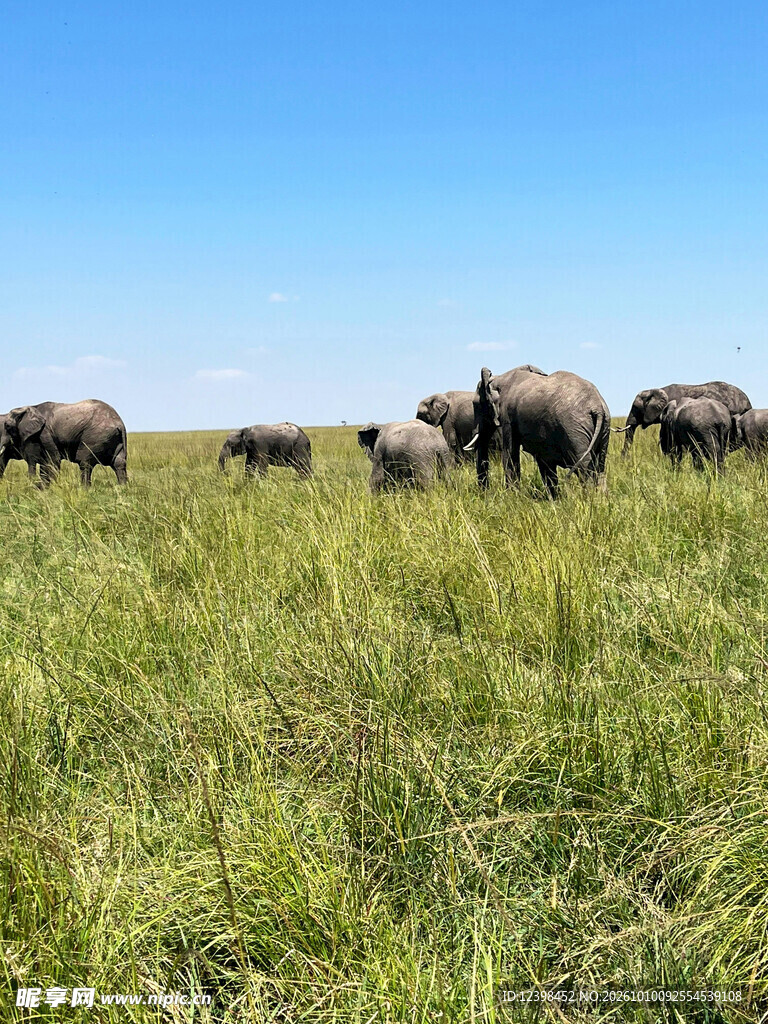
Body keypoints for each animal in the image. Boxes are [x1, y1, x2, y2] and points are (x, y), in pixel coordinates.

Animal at [466, 366, 610, 498]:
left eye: (476, 405)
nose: (484, 494)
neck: (497, 378)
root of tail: (597, 407)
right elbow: (545, 464)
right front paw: (553, 500)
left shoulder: (507, 417)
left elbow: (510, 455)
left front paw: (512, 497)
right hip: (604, 428)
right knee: (600, 467)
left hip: (573, 429)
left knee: (584, 468)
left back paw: (590, 499)